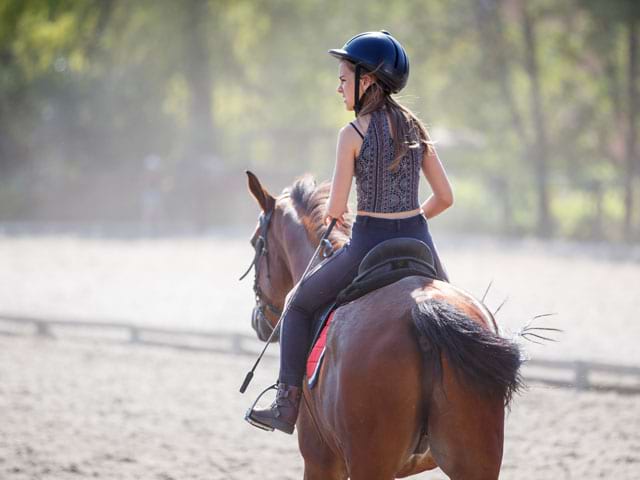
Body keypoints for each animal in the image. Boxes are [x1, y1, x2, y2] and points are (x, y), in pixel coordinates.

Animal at [242, 171, 524, 478]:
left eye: (256, 243)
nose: (257, 321)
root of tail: (422, 309)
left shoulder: (320, 459)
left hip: (369, 458)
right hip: (473, 461)